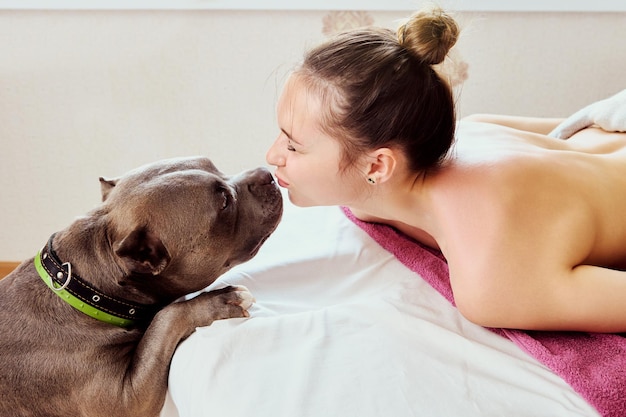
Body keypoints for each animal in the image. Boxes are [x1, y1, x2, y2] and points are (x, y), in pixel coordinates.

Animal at [0, 156, 280, 416]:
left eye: (212, 164)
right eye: (224, 202)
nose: (266, 174)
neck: (83, 290)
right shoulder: (129, 400)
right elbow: (165, 319)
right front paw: (220, 300)